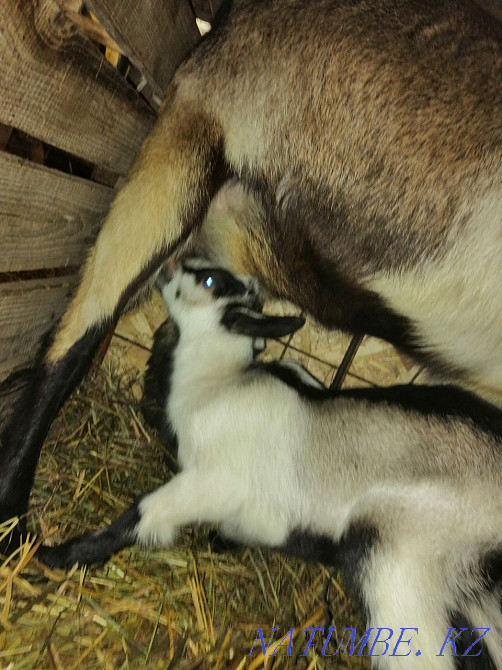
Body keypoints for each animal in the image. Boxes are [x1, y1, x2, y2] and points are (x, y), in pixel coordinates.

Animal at [37, 258, 502, 669]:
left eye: (210, 280)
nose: (168, 265)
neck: (214, 385)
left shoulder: (213, 480)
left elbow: (144, 512)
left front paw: (55, 556)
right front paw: (221, 540)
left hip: (400, 559)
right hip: (472, 591)